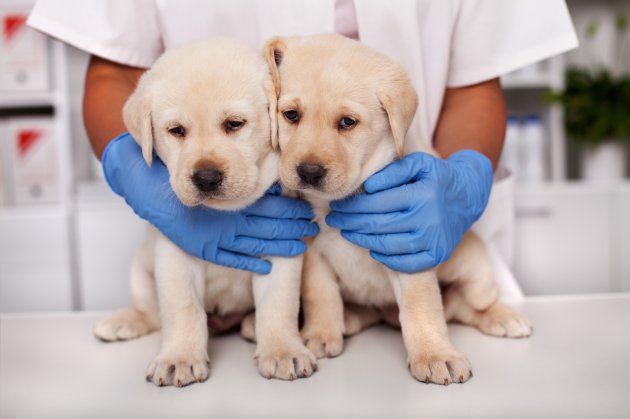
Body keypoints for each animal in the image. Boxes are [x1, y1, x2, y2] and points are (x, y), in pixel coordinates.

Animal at [93, 39, 318, 388]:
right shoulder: (175, 255)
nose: (206, 177)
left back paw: (251, 326)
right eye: (176, 131)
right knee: (151, 313)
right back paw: (124, 321)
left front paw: (283, 350)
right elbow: (183, 309)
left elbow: (278, 306)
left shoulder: (282, 248)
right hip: (140, 272)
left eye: (234, 124)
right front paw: (179, 358)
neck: (227, 213)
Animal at [266, 34, 532, 386]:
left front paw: (435, 355)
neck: (343, 198)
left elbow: (422, 308)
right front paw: (321, 333)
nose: (308, 172)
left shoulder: (407, 250)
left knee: (471, 305)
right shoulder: (314, 255)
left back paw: (504, 316)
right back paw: (348, 319)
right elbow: (321, 296)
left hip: (477, 272)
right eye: (291, 115)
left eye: (347, 122)